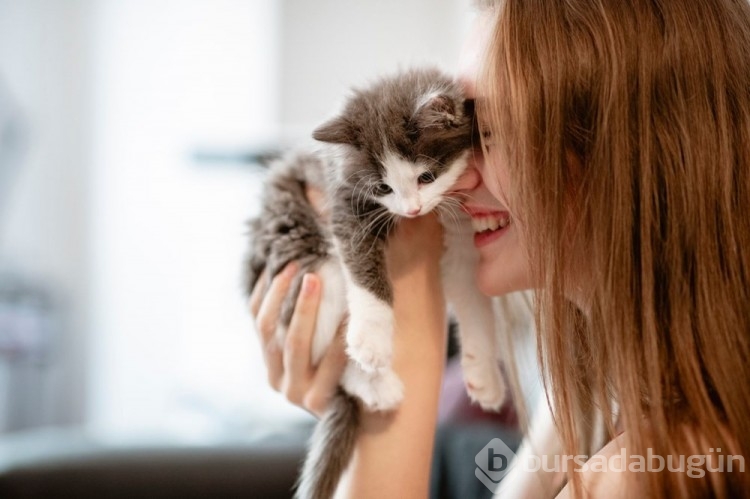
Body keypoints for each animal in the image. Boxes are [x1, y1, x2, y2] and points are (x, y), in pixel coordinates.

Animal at [245, 67, 506, 499]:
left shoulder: (463, 237)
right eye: (383, 187)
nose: (413, 210)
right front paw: (371, 337)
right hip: (301, 252)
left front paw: (484, 372)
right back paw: (374, 384)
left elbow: (473, 296)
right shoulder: (341, 197)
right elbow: (362, 262)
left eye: (426, 177)